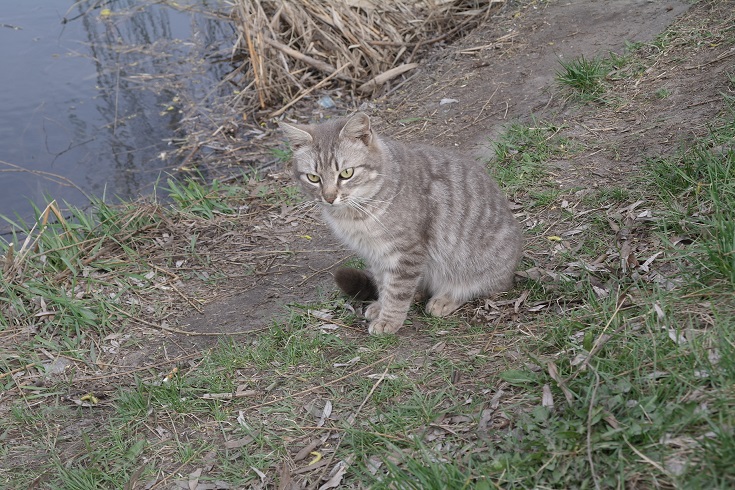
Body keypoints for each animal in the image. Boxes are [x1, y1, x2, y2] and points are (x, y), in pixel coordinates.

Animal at [280, 112, 522, 335]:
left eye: (346, 173)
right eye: (313, 178)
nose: (329, 197)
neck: (355, 216)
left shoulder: (406, 251)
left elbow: (396, 291)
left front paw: (388, 320)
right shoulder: (375, 254)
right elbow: (384, 284)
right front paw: (381, 306)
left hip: (473, 265)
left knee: (479, 287)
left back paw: (445, 299)